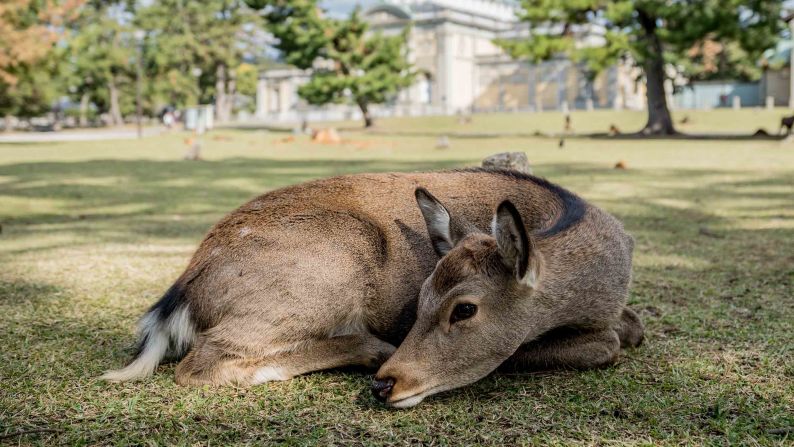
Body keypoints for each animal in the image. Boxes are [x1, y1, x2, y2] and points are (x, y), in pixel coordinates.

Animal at [100, 167, 644, 406]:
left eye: (463, 309)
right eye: (419, 300)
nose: (387, 384)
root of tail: (180, 294)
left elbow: (632, 328)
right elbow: (608, 344)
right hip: (329, 268)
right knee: (202, 364)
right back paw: (368, 348)